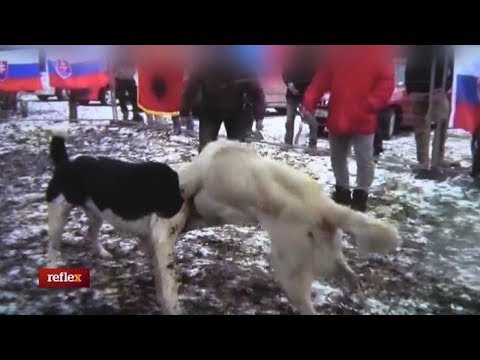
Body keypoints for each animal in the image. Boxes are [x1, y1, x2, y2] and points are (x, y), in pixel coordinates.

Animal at [44, 129, 188, 312]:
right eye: (169, 193)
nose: (181, 203)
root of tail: (65, 163)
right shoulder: (159, 240)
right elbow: (167, 282)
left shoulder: (150, 239)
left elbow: (159, 274)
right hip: (58, 214)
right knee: (53, 245)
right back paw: (52, 267)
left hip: (96, 214)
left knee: (91, 234)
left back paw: (101, 252)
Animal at [180, 139, 402, 314]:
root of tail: (324, 208)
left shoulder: (195, 184)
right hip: (327, 254)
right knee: (345, 270)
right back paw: (356, 285)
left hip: (289, 271)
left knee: (308, 307)